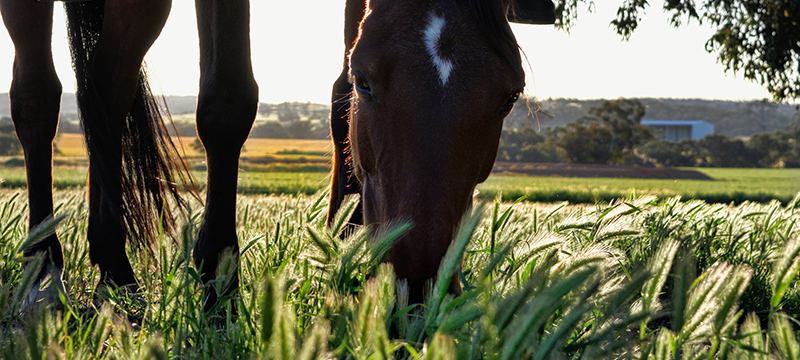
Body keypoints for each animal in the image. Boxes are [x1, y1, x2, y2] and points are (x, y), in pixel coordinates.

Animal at [0, 0, 256, 312]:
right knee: (38, 94)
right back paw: (44, 268)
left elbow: (228, 101)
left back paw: (112, 269)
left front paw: (221, 283)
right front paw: (220, 281)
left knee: (107, 88)